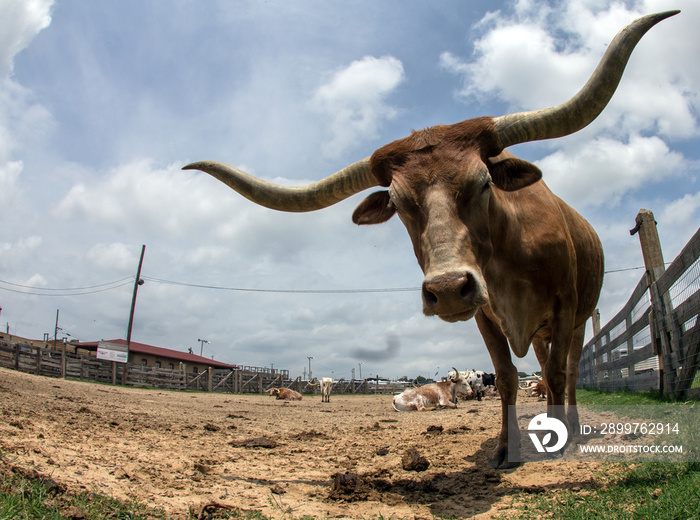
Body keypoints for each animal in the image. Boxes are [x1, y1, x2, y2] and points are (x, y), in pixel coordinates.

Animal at [185, 12, 680, 470]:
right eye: (399, 203)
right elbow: (506, 377)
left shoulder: (562, 307)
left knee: (569, 371)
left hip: (576, 319)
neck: (511, 256)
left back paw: (568, 426)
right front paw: (506, 448)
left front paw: (557, 439)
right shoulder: (487, 317)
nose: (447, 289)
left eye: (484, 183)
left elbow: (559, 374)